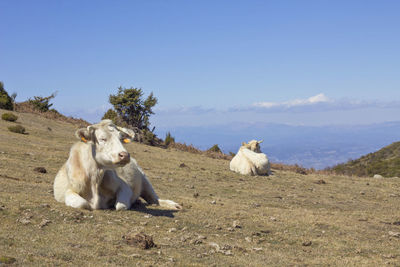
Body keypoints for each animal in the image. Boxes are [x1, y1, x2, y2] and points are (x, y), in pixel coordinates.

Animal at [54, 121, 182, 211]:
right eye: (102, 139)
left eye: (121, 138)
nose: (124, 155)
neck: (95, 179)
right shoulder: (69, 190)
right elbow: (83, 204)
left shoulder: (124, 187)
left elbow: (120, 206)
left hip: (145, 180)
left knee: (154, 199)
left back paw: (173, 205)